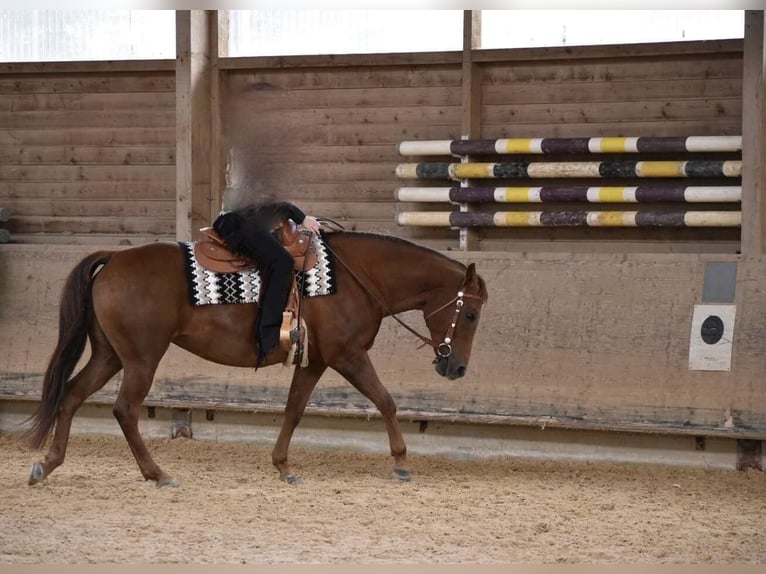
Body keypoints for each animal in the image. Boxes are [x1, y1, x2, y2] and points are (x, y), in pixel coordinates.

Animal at [22, 232, 492, 488]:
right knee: (125, 410)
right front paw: (401, 463)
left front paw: (283, 466)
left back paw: (48, 464)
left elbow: (294, 410)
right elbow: (386, 402)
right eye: (469, 314)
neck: (352, 278)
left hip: (109, 355)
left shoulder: (315, 361)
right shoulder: (348, 355)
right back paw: (158, 473)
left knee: (72, 395)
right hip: (141, 358)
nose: (457, 368)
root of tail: (115, 258)